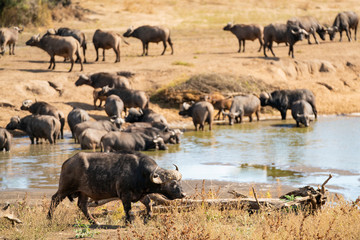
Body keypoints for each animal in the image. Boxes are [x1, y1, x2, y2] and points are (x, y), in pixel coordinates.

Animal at [47, 152, 186, 223]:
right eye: (172, 183)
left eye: (180, 181)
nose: (183, 194)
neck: (140, 172)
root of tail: (68, 161)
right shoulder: (125, 194)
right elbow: (128, 209)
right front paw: (129, 222)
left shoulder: (140, 194)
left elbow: (149, 204)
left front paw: (147, 218)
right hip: (65, 188)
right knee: (54, 199)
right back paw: (49, 218)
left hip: (83, 192)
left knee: (82, 205)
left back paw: (94, 222)